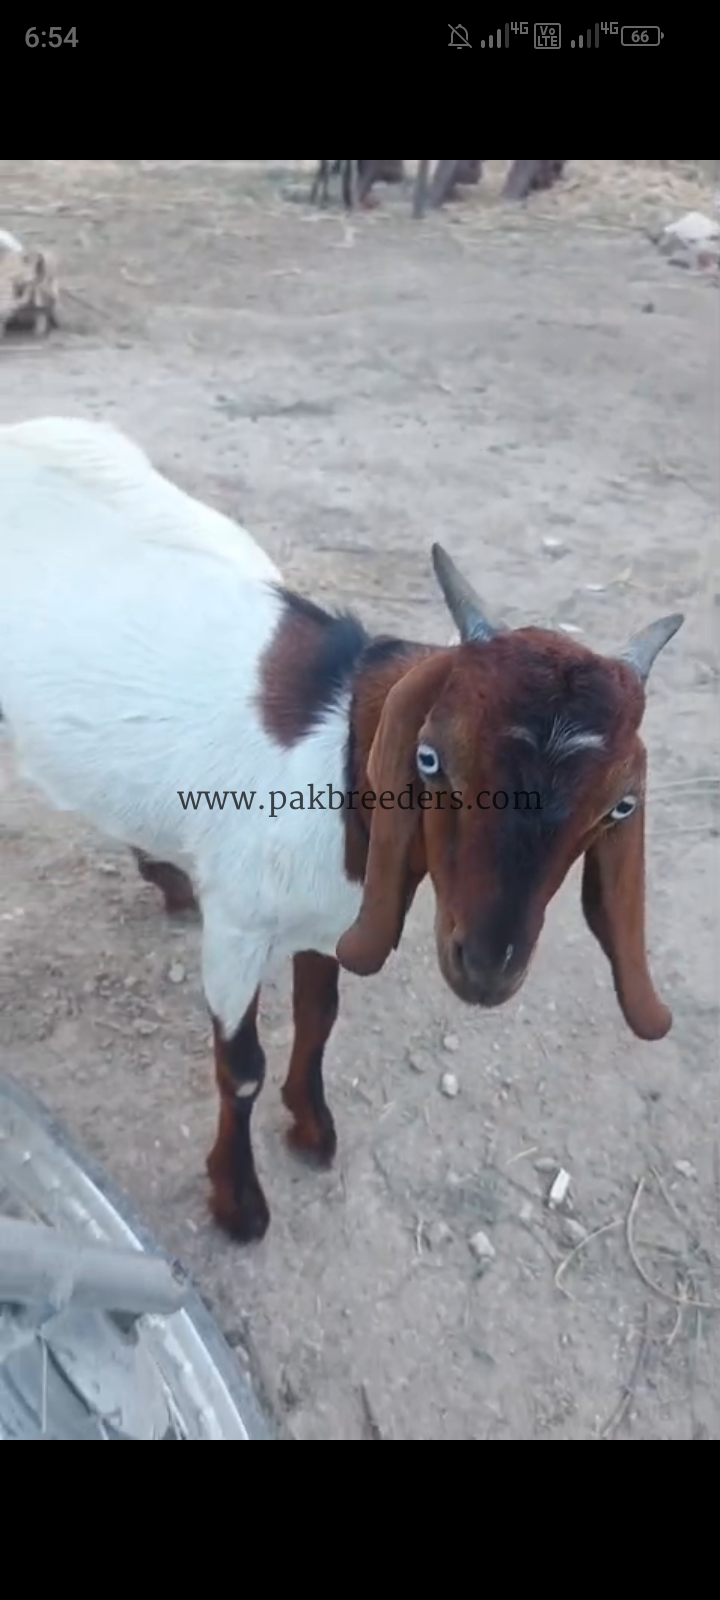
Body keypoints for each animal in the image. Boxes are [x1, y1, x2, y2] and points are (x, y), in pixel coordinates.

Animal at [0, 417, 683, 1245]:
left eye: (618, 807)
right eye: (431, 758)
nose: (487, 967)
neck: (337, 767)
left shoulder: (333, 918)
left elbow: (320, 1017)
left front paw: (310, 1126)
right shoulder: (238, 929)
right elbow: (243, 1065)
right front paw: (239, 1202)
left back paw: (162, 872)